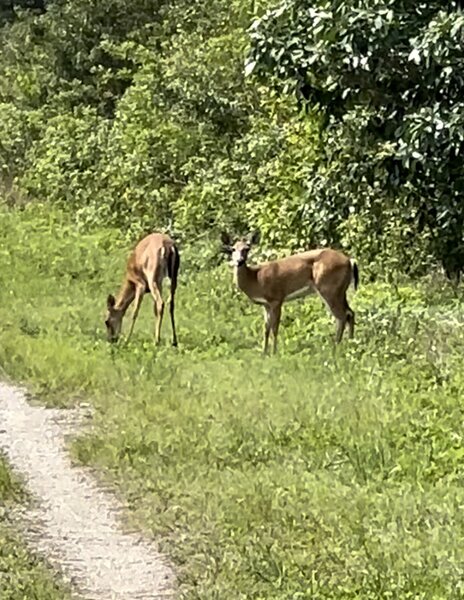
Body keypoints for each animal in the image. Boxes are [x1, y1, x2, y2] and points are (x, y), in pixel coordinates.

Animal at [221, 232, 358, 354]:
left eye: (247, 248)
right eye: (233, 249)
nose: (239, 261)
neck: (255, 279)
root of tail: (350, 261)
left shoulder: (276, 298)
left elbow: (274, 328)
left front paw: (273, 353)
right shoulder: (265, 304)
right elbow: (266, 328)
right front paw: (264, 353)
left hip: (329, 288)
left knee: (341, 316)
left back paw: (335, 348)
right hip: (340, 291)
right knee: (350, 313)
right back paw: (351, 343)